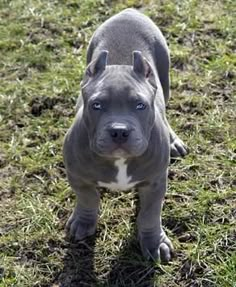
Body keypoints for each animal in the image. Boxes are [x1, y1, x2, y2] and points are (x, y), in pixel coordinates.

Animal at [63, 7, 188, 262]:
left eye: (140, 106)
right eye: (96, 105)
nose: (119, 132)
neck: (120, 160)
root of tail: (128, 11)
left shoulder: (155, 183)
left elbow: (150, 214)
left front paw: (154, 243)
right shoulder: (78, 177)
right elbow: (87, 198)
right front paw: (83, 222)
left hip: (165, 75)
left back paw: (174, 141)